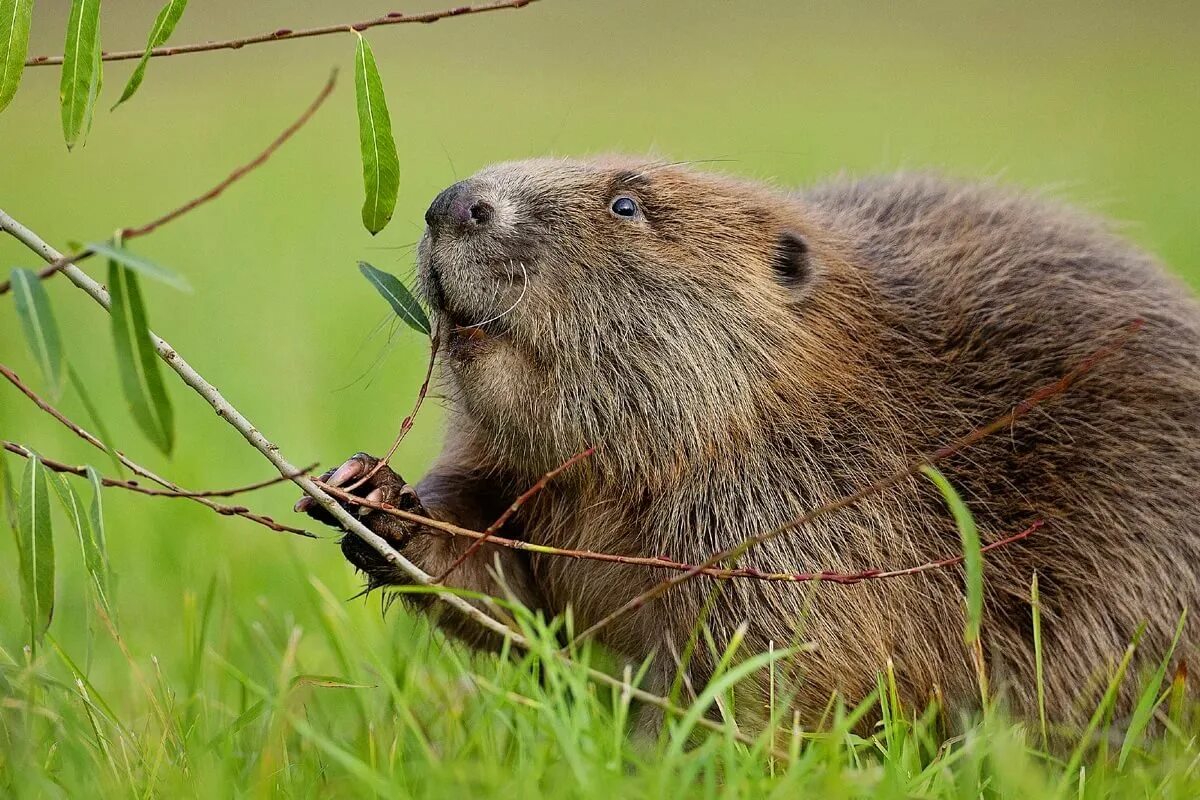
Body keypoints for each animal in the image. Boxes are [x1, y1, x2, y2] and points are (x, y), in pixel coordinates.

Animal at [297, 159, 1200, 734]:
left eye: (626, 205)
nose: (454, 203)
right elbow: (508, 585)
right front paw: (372, 495)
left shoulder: (807, 505)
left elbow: (784, 659)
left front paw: (668, 751)